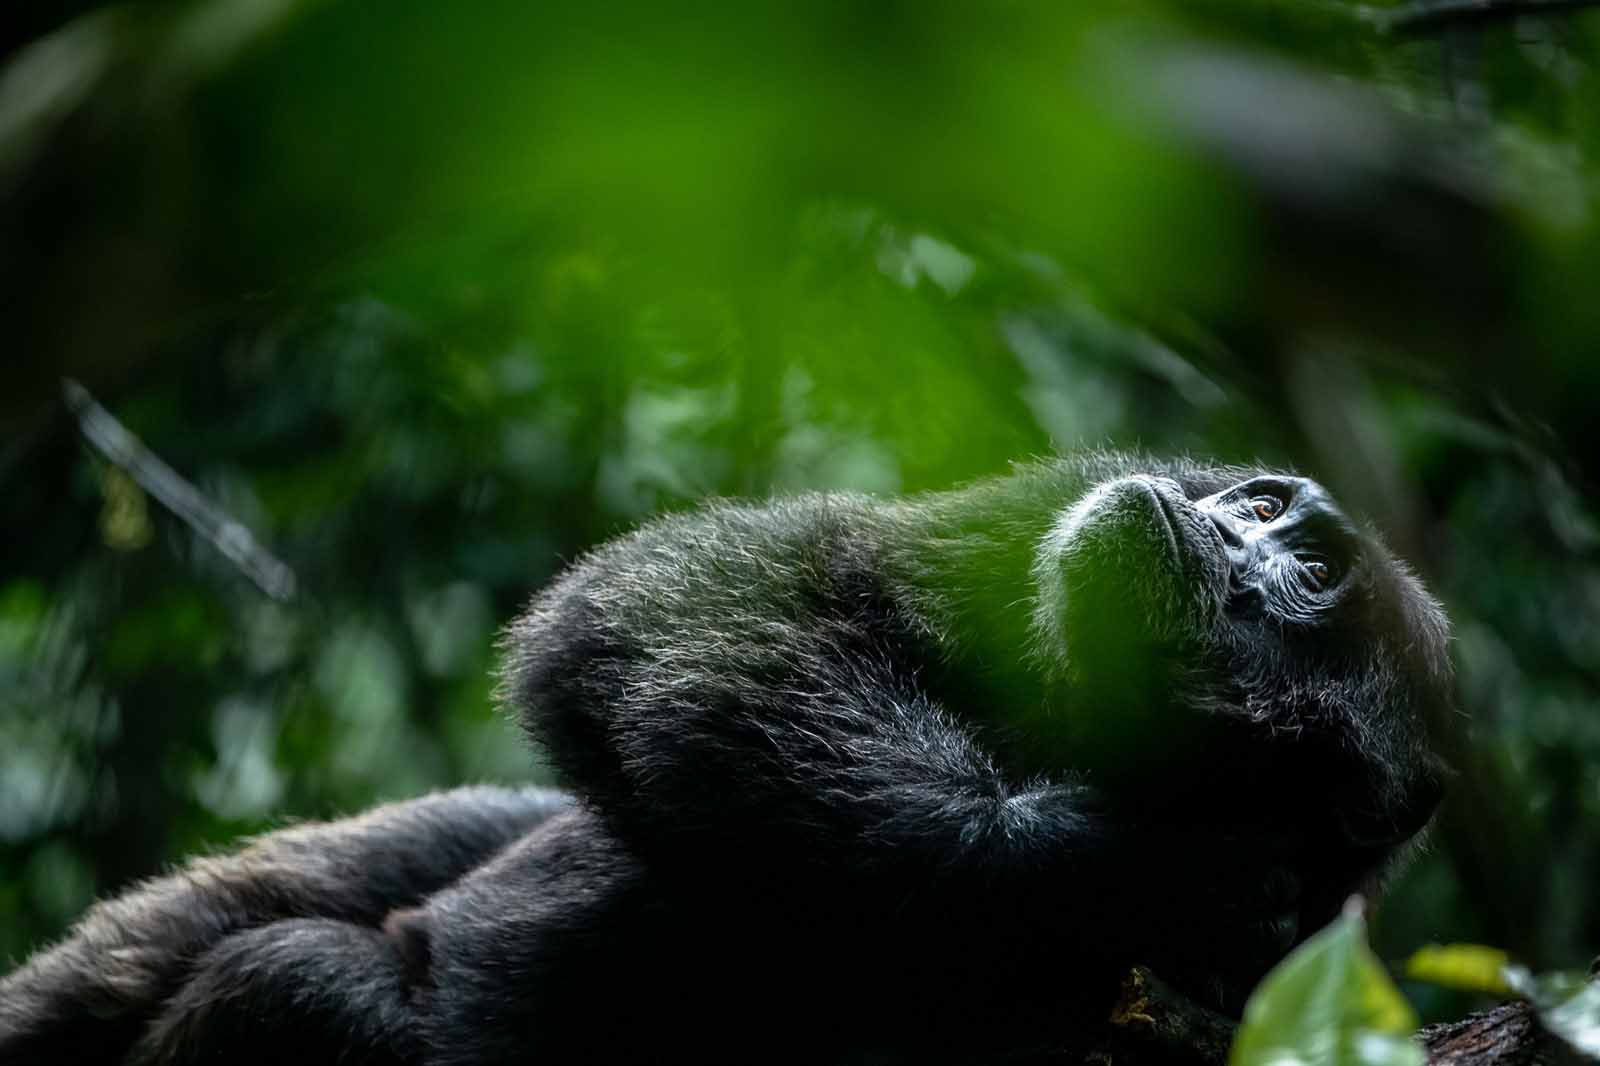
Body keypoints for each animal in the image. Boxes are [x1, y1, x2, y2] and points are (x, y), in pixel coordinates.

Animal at [0, 452, 1452, 1065]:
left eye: (1305, 580)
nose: (1225, 523)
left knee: (296, 984)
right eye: (1261, 503)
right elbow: (739, 583)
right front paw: (1106, 856)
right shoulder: (1050, 502)